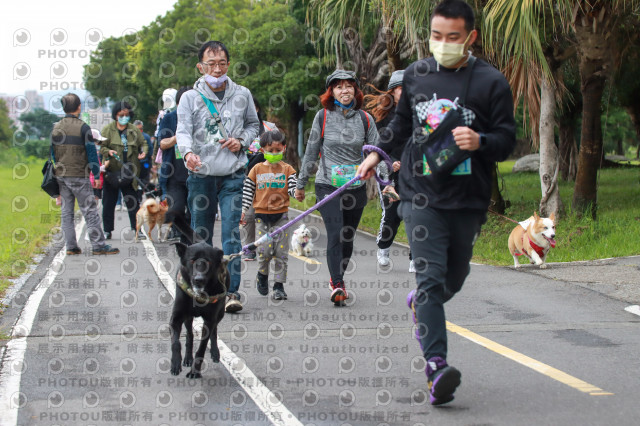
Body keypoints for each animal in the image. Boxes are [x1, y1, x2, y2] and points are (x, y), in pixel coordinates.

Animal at [170, 215, 230, 378]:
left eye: (208, 261)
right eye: (192, 260)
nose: (199, 279)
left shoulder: (209, 320)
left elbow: (202, 347)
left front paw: (195, 371)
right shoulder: (176, 318)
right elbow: (176, 342)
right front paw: (176, 362)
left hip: (220, 313)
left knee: (214, 331)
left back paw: (215, 352)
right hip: (188, 317)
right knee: (190, 335)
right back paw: (187, 358)